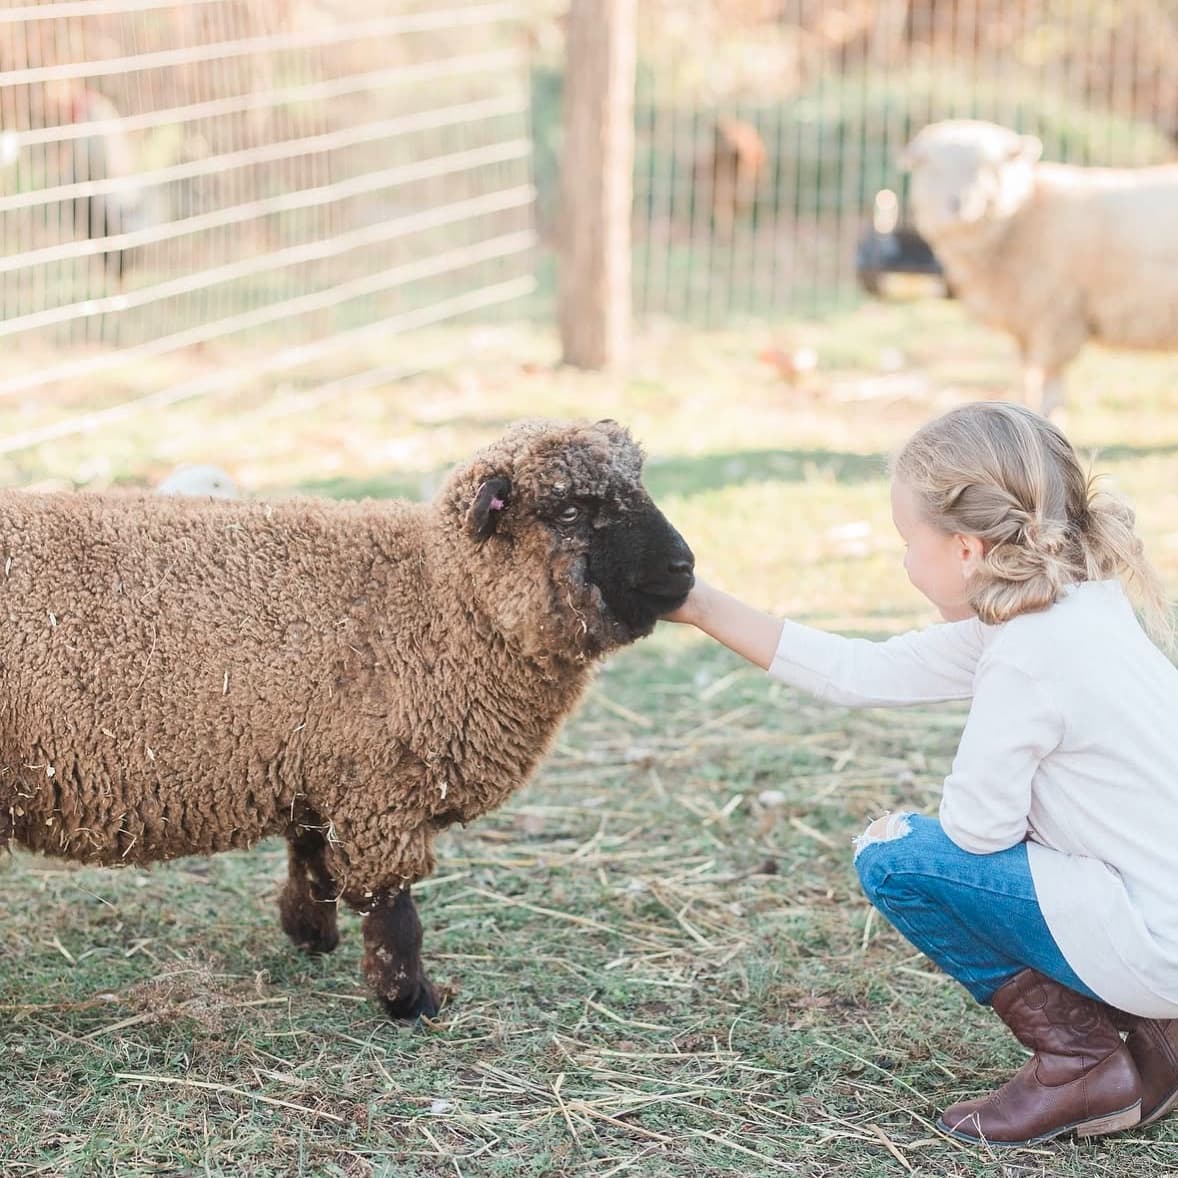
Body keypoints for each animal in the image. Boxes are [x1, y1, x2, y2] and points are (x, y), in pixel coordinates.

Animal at [0, 418, 694, 1019]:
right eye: (569, 511)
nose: (684, 568)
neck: (434, 598)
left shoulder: (319, 765)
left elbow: (312, 858)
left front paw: (309, 932)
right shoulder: (381, 789)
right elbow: (395, 914)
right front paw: (409, 1001)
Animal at [901, 118, 1178, 416]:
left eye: (987, 168)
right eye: (932, 167)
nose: (958, 205)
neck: (1024, 214)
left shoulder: (1058, 315)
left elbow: (1050, 384)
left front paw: (1049, 416)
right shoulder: (1026, 323)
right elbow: (1026, 375)